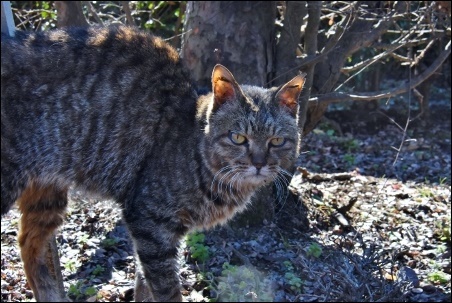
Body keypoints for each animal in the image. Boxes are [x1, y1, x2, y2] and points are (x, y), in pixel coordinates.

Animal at [0, 25, 304, 302]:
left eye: (277, 141)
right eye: (238, 137)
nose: (259, 163)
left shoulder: (156, 234)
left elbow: (144, 285)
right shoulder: (150, 223)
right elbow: (166, 290)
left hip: (48, 195)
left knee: (26, 243)